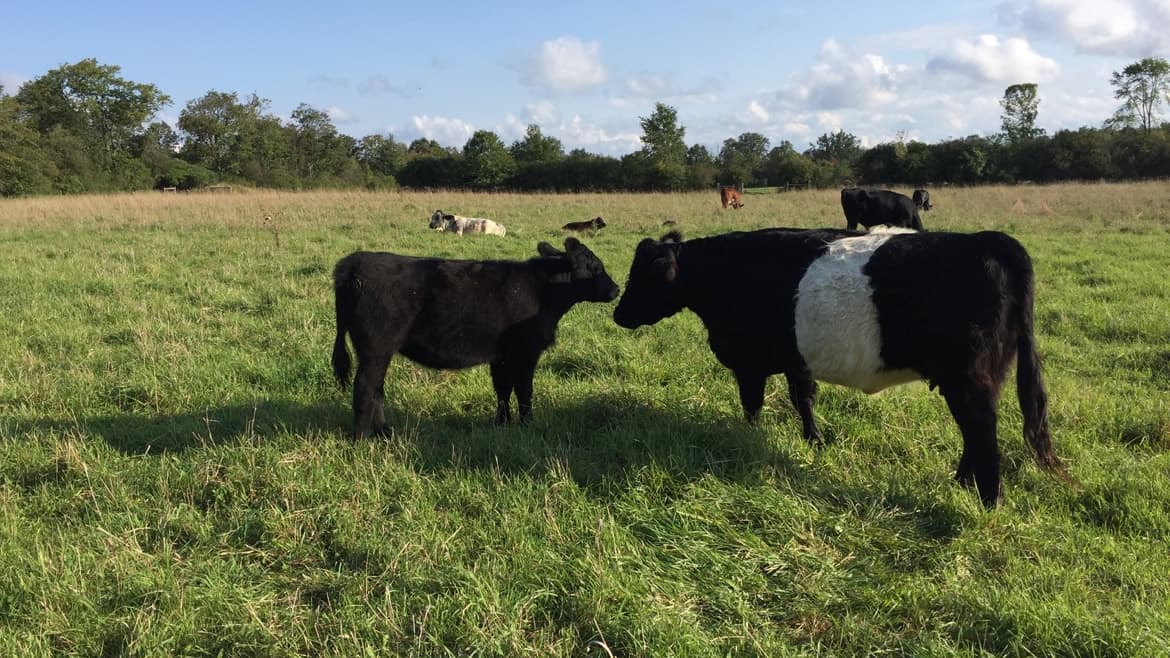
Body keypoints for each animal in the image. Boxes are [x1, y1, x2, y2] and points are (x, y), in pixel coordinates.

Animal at [332, 238, 620, 439]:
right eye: (596, 267)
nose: (616, 289)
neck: (542, 291)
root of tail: (354, 263)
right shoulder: (526, 352)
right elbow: (524, 389)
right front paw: (528, 423)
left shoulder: (502, 355)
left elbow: (503, 389)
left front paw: (502, 423)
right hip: (376, 348)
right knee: (365, 387)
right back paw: (361, 438)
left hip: (379, 351)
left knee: (376, 388)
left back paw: (384, 432)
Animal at [612, 227, 1065, 508]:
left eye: (644, 275)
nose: (618, 313)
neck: (724, 274)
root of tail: (987, 241)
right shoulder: (796, 360)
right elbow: (803, 399)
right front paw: (814, 441)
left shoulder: (748, 362)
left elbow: (753, 405)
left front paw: (747, 438)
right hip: (983, 377)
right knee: (975, 433)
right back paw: (961, 483)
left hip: (970, 378)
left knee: (982, 431)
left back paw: (989, 499)